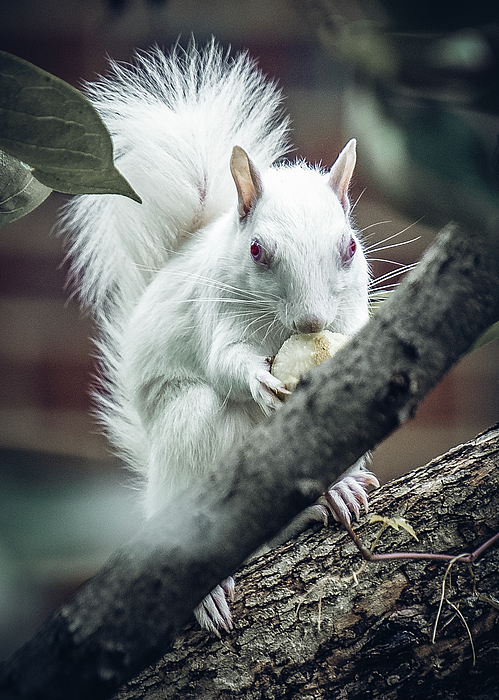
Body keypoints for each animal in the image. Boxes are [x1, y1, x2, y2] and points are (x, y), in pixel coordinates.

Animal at [63, 42, 378, 636]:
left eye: (349, 246)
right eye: (257, 250)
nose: (310, 322)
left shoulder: (353, 308)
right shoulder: (217, 314)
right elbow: (224, 360)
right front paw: (258, 380)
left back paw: (337, 492)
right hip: (193, 436)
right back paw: (210, 589)